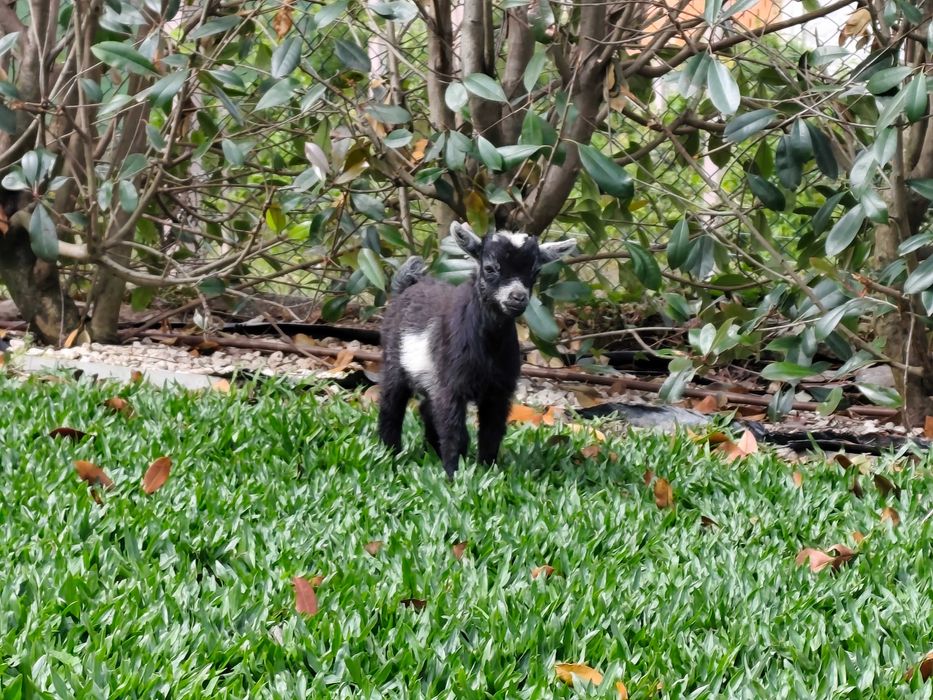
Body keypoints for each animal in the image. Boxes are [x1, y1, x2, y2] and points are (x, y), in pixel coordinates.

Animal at [378, 221, 576, 477]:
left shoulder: (499, 391)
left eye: (535, 272)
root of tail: (408, 286)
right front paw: (453, 473)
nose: (517, 297)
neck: (488, 346)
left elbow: (492, 432)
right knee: (391, 405)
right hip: (394, 361)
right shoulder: (452, 386)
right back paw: (390, 452)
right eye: (490, 268)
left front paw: (486, 469)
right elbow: (456, 433)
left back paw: (430, 450)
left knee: (427, 408)